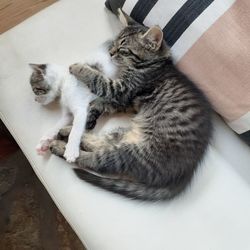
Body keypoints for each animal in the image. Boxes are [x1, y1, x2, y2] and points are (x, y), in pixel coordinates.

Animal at [49, 10, 212, 201]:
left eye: (122, 49)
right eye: (113, 43)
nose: (110, 52)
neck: (154, 64)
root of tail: (186, 173)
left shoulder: (121, 90)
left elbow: (98, 79)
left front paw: (78, 68)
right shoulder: (127, 101)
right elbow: (102, 102)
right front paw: (93, 111)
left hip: (134, 155)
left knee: (95, 160)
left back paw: (61, 147)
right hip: (123, 134)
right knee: (101, 143)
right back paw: (68, 132)